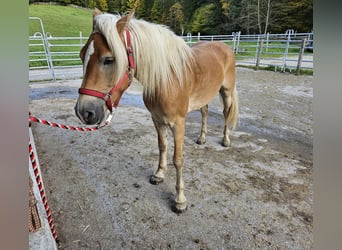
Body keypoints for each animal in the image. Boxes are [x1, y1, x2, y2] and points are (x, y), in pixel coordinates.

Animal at [75, 10, 239, 213]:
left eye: (109, 60)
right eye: (82, 55)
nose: (84, 112)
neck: (167, 79)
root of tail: (224, 46)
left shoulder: (178, 123)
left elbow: (178, 159)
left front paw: (180, 199)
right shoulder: (157, 119)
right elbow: (162, 146)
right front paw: (159, 174)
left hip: (227, 91)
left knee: (226, 113)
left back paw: (225, 140)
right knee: (205, 112)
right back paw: (202, 138)